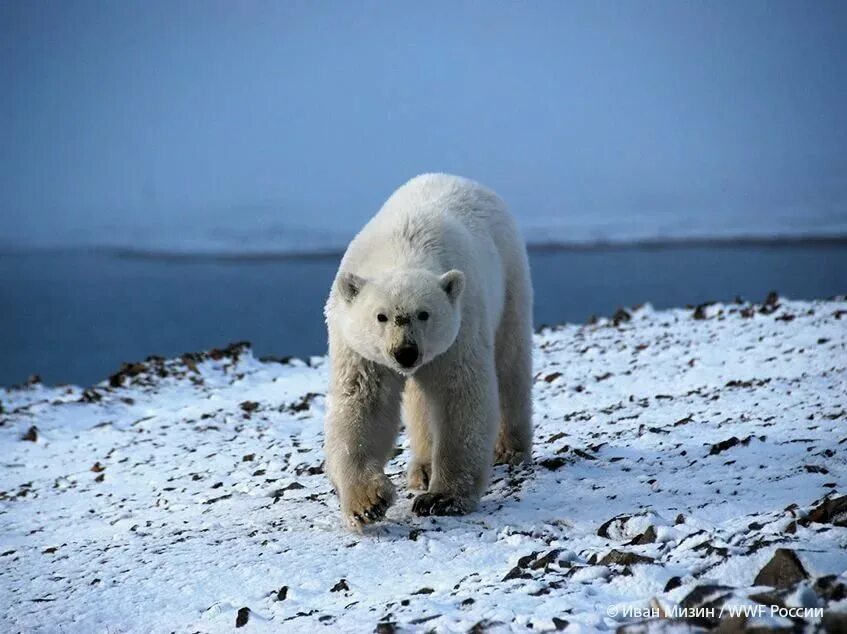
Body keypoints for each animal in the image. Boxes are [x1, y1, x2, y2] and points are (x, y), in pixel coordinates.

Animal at [322, 173, 532, 528]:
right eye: (381, 316)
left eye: (424, 314)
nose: (405, 353)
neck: (402, 248)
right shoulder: (358, 346)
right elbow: (363, 403)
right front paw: (367, 503)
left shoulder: (461, 327)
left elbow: (459, 396)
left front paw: (441, 498)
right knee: (420, 401)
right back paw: (422, 468)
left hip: (510, 279)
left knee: (510, 364)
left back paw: (510, 449)